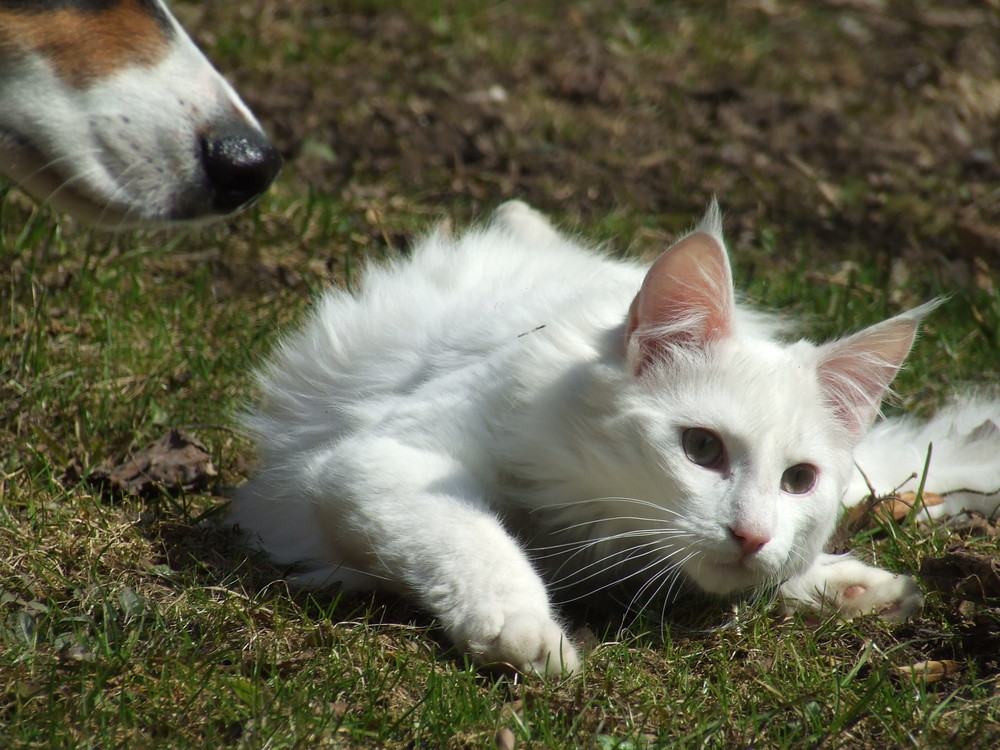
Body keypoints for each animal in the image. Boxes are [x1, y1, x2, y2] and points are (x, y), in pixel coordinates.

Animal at [232, 203, 1000, 680]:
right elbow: (476, 539)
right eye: (702, 449)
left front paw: (835, 583)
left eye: (798, 480)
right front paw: (526, 633)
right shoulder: (376, 460)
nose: (752, 534)